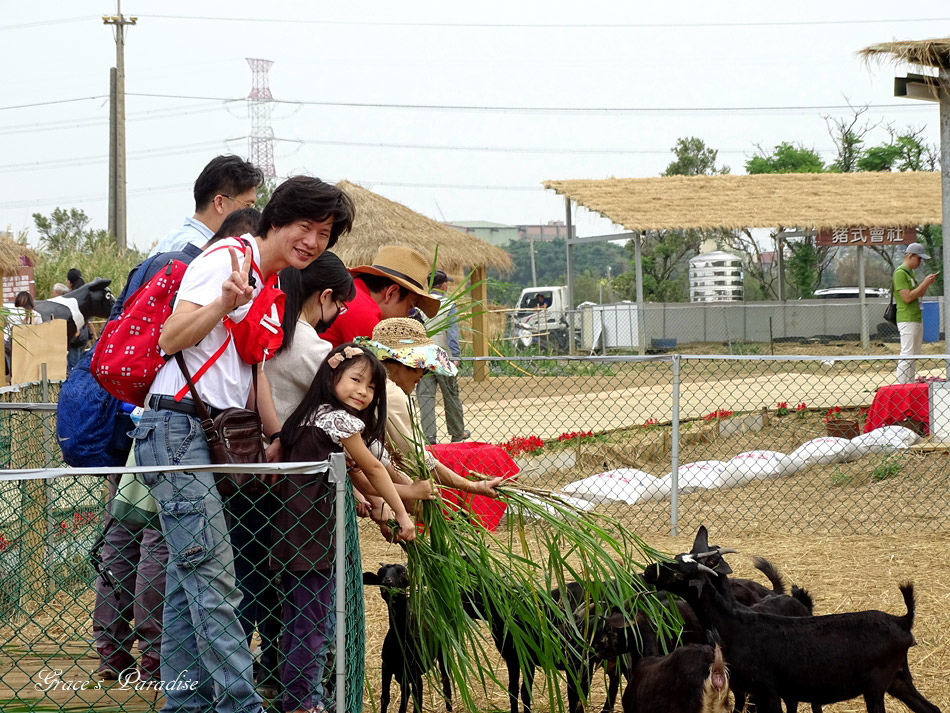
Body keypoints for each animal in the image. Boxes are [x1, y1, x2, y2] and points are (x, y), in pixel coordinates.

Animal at [364, 560, 454, 712]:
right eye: (380, 573)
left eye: (403, 572)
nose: (387, 581)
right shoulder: (387, 666)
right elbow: (385, 698)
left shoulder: (414, 672)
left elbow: (417, 702)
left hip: (442, 651)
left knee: (445, 678)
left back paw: (449, 707)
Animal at [644, 524, 940, 712]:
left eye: (678, 572)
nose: (647, 571)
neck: (736, 626)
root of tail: (903, 620)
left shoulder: (767, 690)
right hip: (898, 679)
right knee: (931, 709)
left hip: (876, 684)